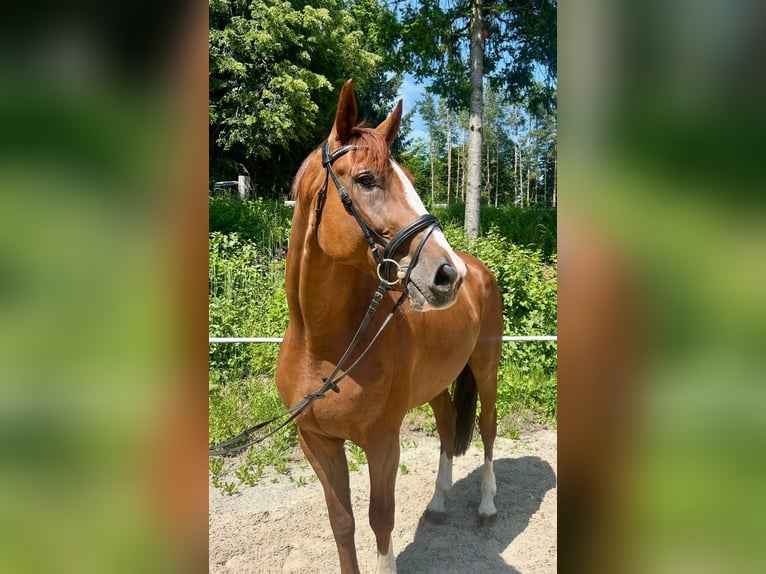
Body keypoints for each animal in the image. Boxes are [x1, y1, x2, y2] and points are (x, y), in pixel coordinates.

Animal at [275, 79, 503, 574]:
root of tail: (478, 268)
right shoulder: (317, 443)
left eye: (414, 183)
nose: (448, 275)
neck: (325, 349)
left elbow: (380, 520)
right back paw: (437, 504)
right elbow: (342, 523)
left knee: (488, 427)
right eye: (366, 180)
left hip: (486, 366)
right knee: (446, 423)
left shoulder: (382, 443)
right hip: (438, 381)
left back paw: (487, 507)